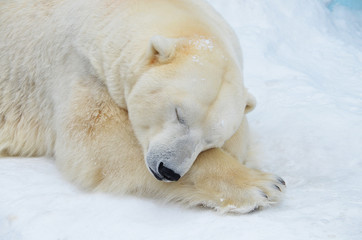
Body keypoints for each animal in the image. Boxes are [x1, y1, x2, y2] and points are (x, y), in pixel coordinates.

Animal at [0, 0, 286, 214]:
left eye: (211, 139)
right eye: (179, 114)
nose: (168, 170)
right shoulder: (78, 63)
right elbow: (99, 140)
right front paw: (264, 184)